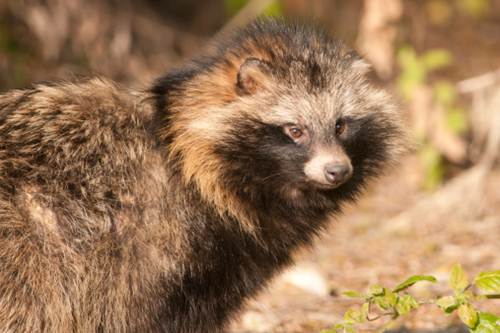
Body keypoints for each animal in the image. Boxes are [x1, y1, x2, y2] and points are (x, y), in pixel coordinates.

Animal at [0, 18, 406, 332]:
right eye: (295, 130)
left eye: (340, 125)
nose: (337, 170)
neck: (181, 153)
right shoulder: (148, 249)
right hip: (26, 248)